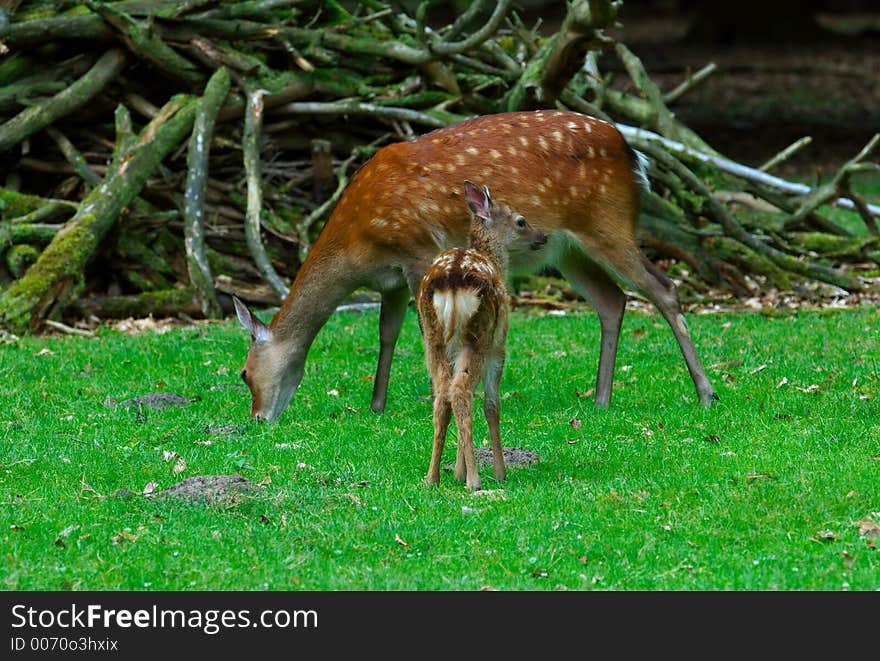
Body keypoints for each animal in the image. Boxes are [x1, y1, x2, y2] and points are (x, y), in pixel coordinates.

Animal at [232, 108, 716, 420]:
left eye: (243, 374)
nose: (258, 418)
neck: (358, 245)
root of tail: (633, 153)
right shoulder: (390, 280)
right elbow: (387, 334)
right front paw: (377, 405)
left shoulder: (418, 251)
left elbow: (427, 331)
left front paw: (434, 397)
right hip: (567, 251)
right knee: (613, 301)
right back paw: (600, 400)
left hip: (608, 223)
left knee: (663, 288)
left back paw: (706, 392)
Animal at [418, 180, 544, 490]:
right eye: (521, 221)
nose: (542, 236)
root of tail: (451, 278)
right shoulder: (500, 347)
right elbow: (491, 405)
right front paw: (498, 472)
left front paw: (457, 471)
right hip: (480, 335)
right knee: (461, 391)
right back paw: (474, 480)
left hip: (433, 338)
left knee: (444, 395)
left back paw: (432, 477)